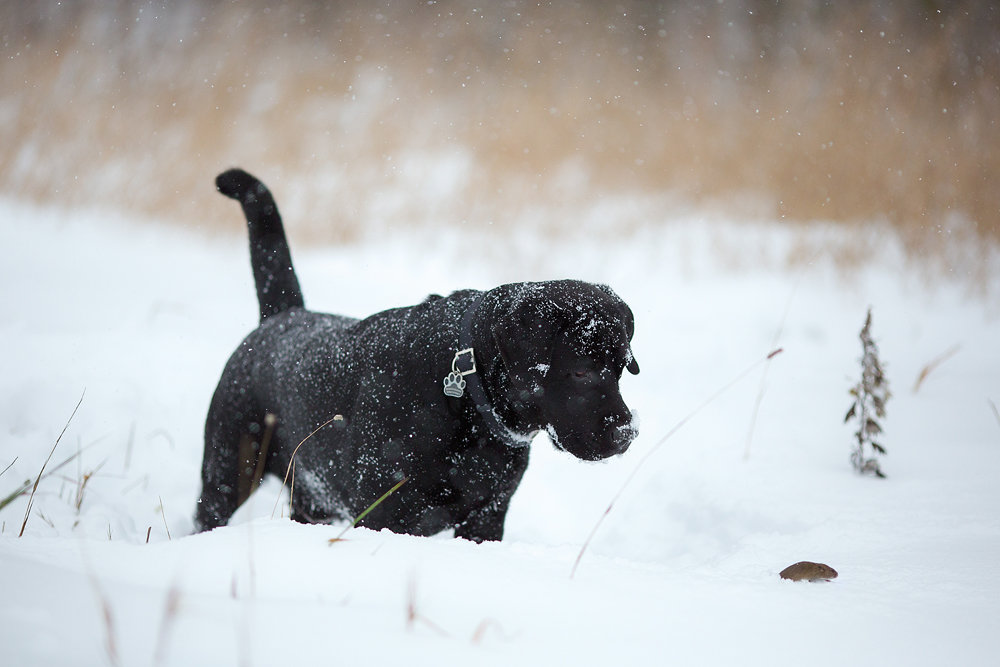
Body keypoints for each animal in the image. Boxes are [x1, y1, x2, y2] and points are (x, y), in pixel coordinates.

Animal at [193, 168, 640, 544]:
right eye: (580, 372)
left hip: (310, 496)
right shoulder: (384, 513)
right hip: (228, 470)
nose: (627, 433)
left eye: (621, 369)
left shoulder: (487, 518)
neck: (466, 394)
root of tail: (283, 316)